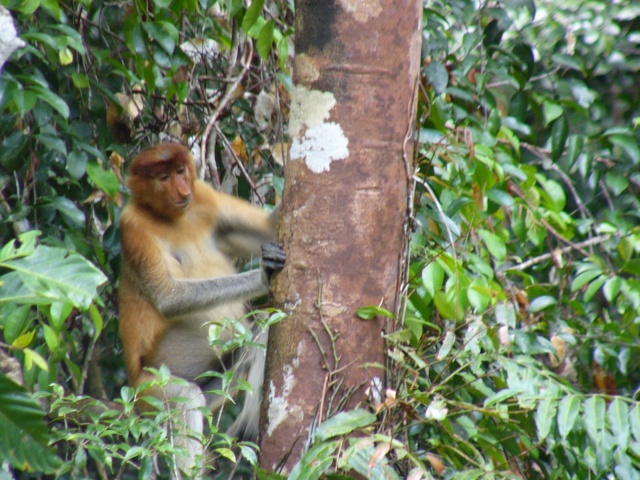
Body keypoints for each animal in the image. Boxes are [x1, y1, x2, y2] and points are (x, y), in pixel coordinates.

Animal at [117, 142, 282, 476]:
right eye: (164, 177)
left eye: (181, 172)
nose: (182, 190)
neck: (170, 217)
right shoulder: (132, 226)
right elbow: (169, 298)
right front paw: (263, 275)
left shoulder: (204, 196)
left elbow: (269, 229)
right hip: (149, 390)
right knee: (185, 397)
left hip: (217, 385)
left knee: (262, 326)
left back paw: (245, 429)